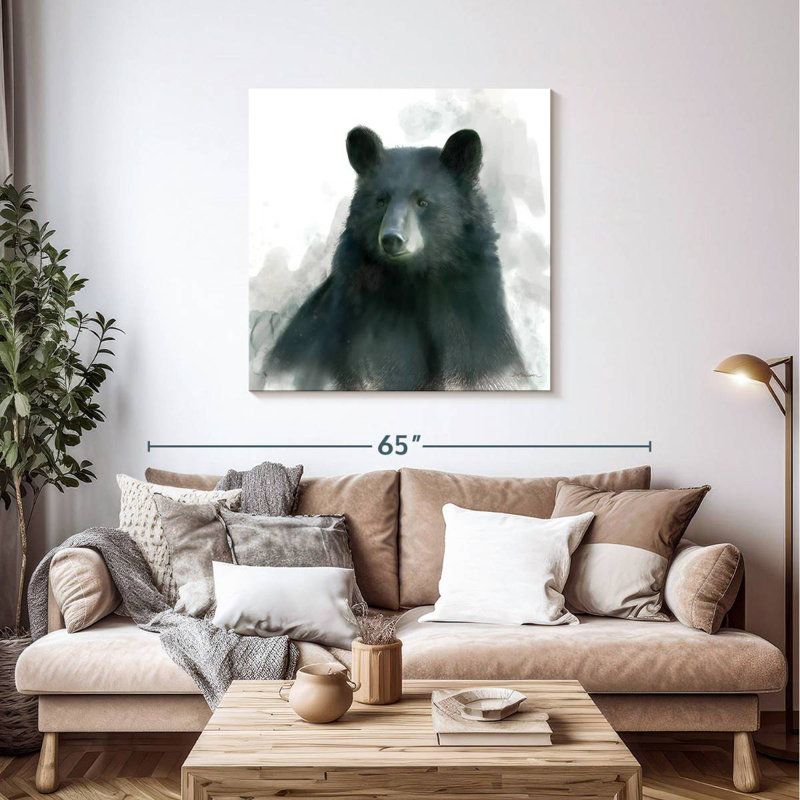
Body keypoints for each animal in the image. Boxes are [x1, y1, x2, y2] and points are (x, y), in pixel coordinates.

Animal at [266, 126, 523, 390]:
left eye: (423, 202)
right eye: (381, 201)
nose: (392, 239)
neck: (415, 281)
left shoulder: (471, 313)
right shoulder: (364, 323)